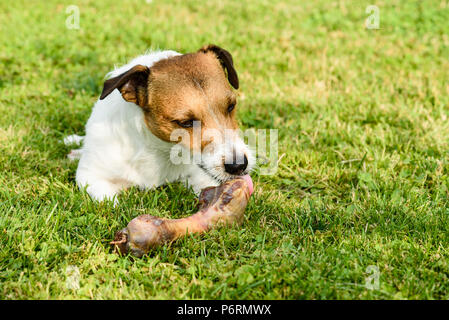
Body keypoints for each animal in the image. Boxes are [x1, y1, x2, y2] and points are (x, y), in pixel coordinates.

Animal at [68, 44, 254, 202]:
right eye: (185, 122)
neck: (158, 150)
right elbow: (110, 203)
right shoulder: (90, 177)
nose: (238, 165)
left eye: (231, 106)